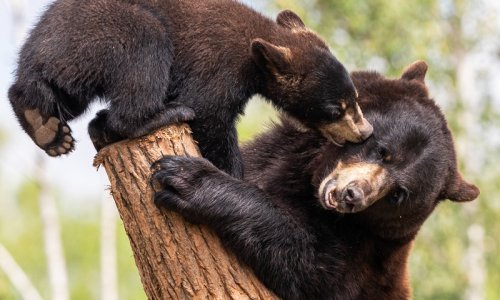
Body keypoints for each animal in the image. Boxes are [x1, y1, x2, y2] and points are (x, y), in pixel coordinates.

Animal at [6, 0, 372, 178]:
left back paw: (47, 128)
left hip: (70, 65)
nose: (364, 131)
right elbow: (209, 113)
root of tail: (33, 53)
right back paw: (158, 116)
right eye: (335, 109)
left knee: (54, 95)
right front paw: (233, 173)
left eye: (354, 98)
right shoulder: (217, 66)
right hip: (107, 30)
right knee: (145, 46)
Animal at [152, 61, 480, 300]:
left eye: (399, 194)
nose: (352, 196)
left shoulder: (365, 257)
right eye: (382, 151)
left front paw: (187, 179)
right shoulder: (272, 155)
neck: (310, 181)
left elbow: (310, 267)